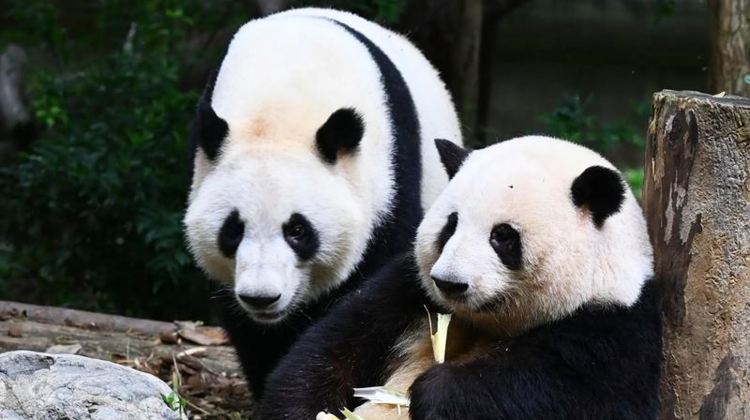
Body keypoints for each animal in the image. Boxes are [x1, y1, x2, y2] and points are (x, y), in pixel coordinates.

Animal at [259, 136, 662, 419]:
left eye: (503, 237)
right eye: (450, 226)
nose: (450, 282)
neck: (488, 323)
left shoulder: (612, 328)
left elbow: (563, 391)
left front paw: (436, 393)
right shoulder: (406, 291)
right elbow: (333, 347)